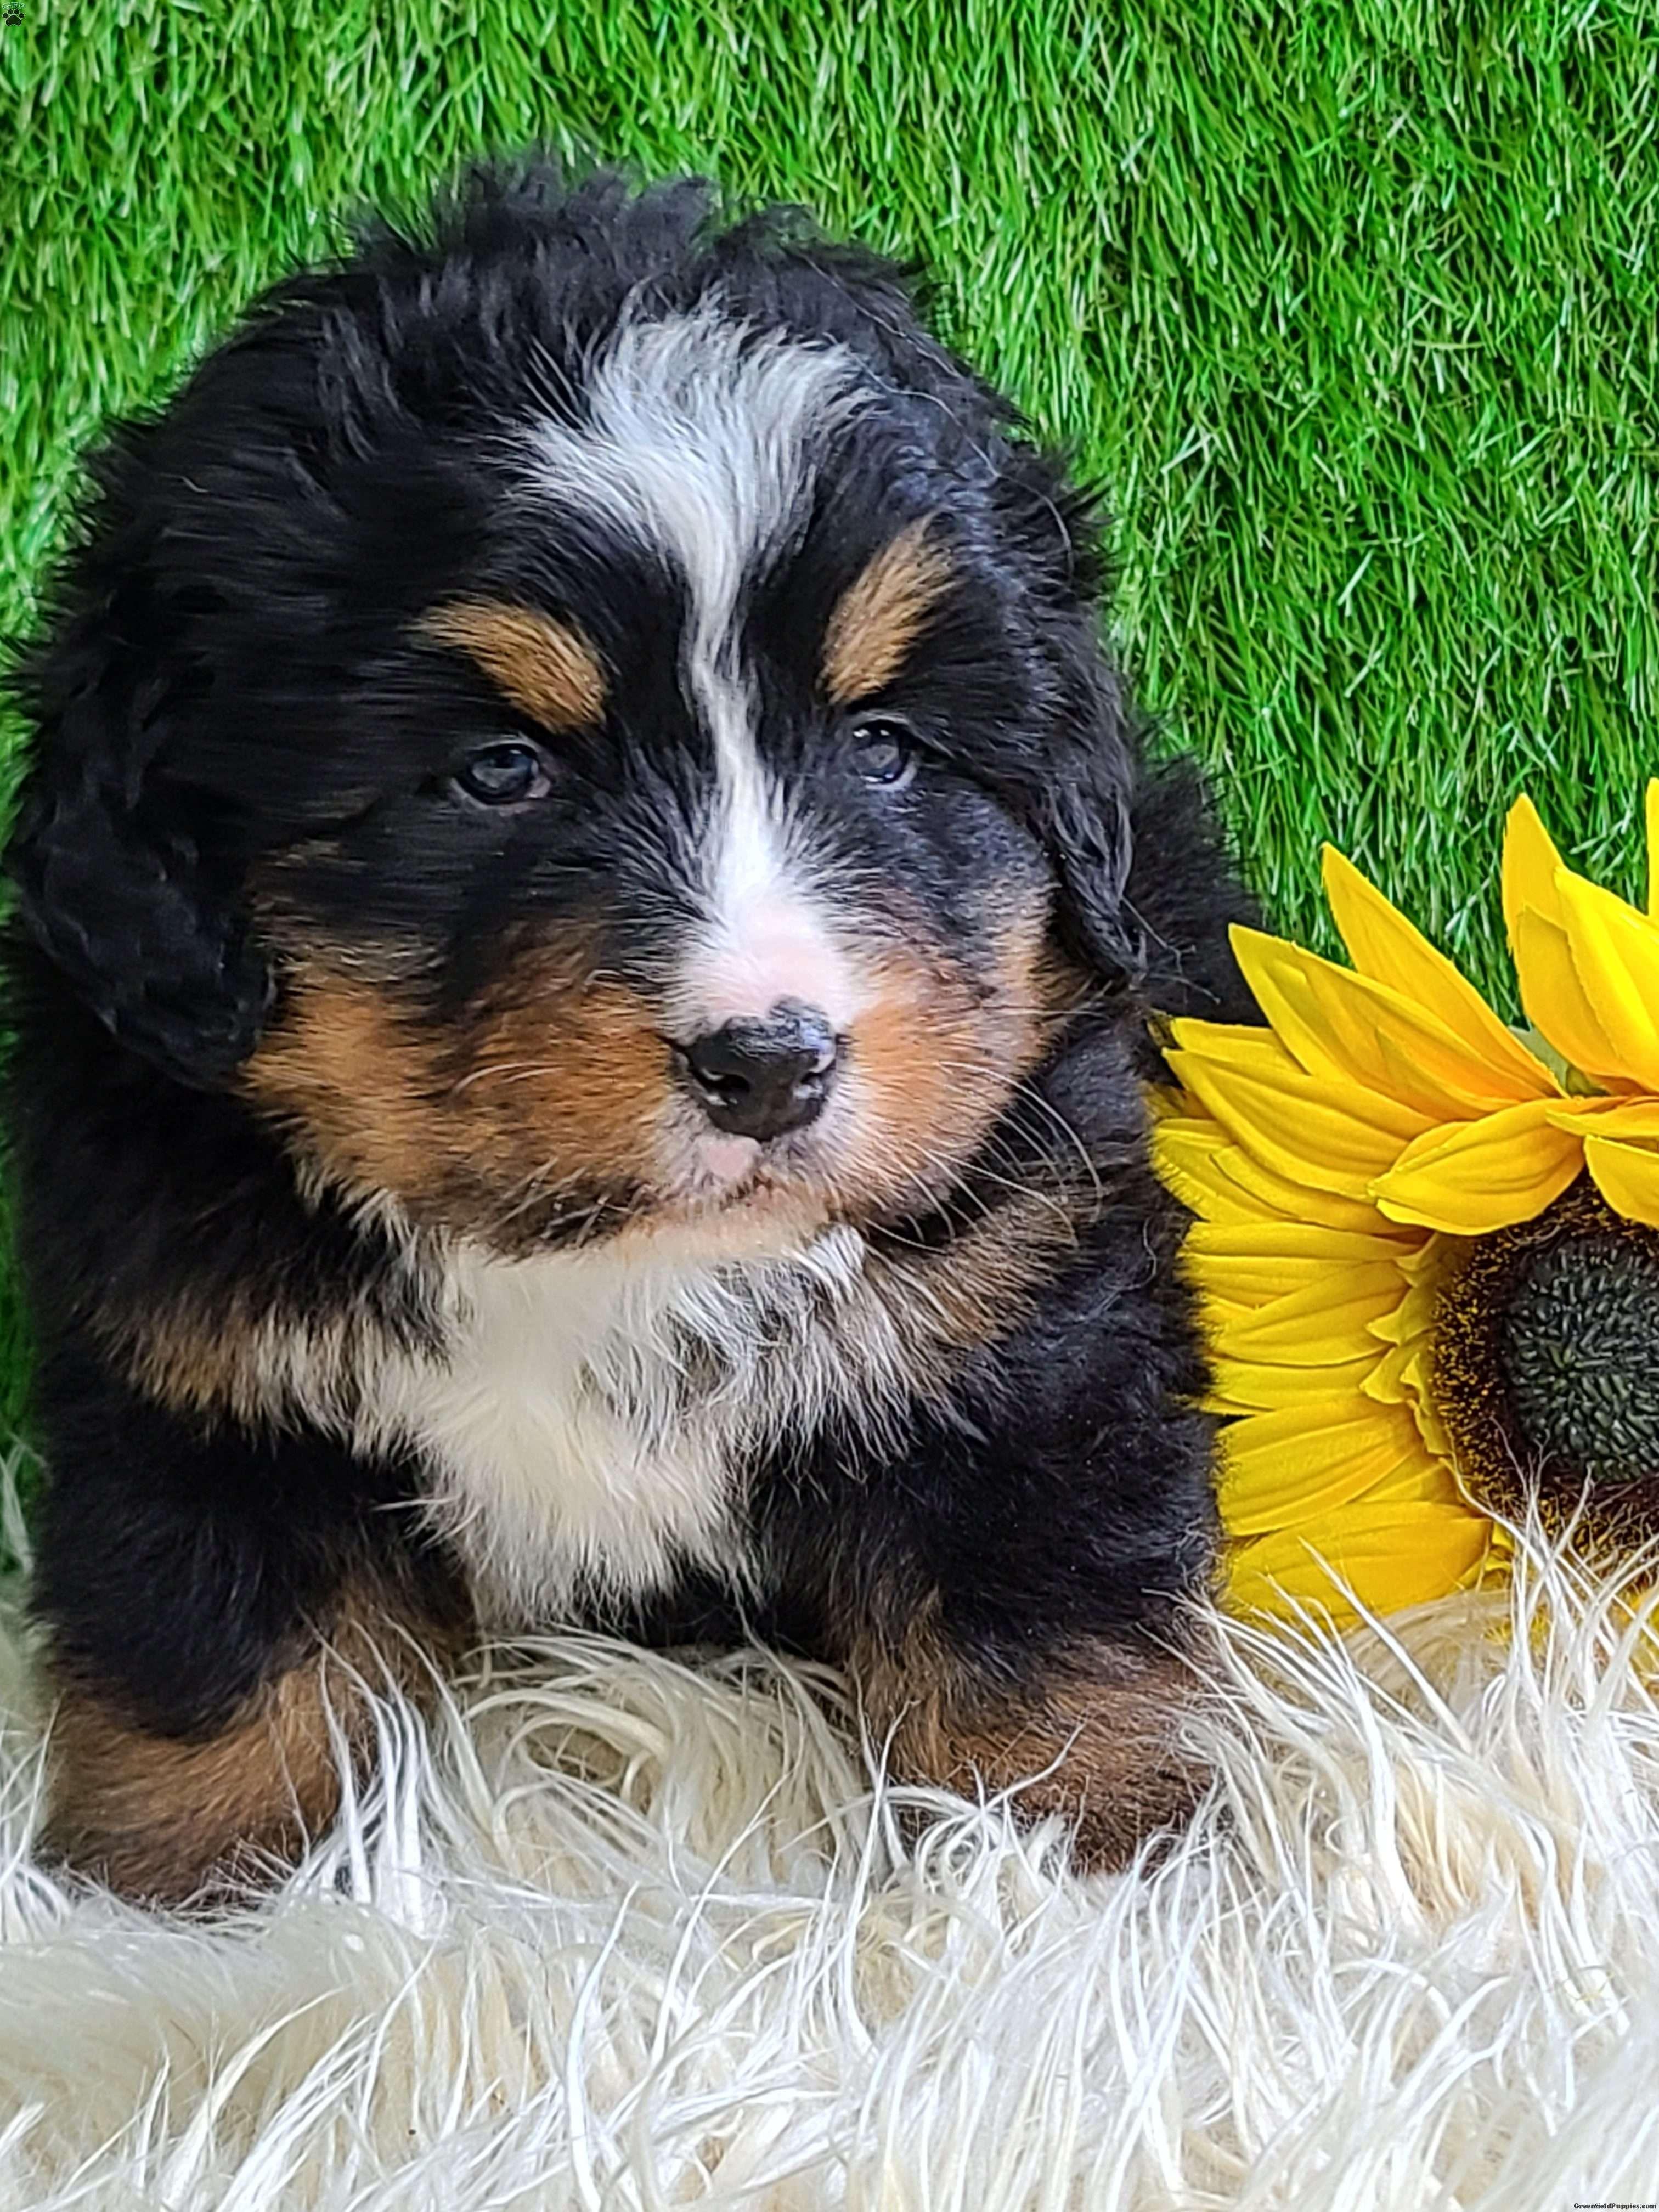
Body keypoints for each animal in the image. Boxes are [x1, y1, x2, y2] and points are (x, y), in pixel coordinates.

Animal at [4, 165, 1254, 1903]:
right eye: (498, 771)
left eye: (884, 746)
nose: (773, 1063)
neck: (606, 1268)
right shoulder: (203, 1386)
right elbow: (226, 1663)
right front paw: (182, 1912)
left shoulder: (1022, 1332)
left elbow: (1038, 1634)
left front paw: (1077, 1884)